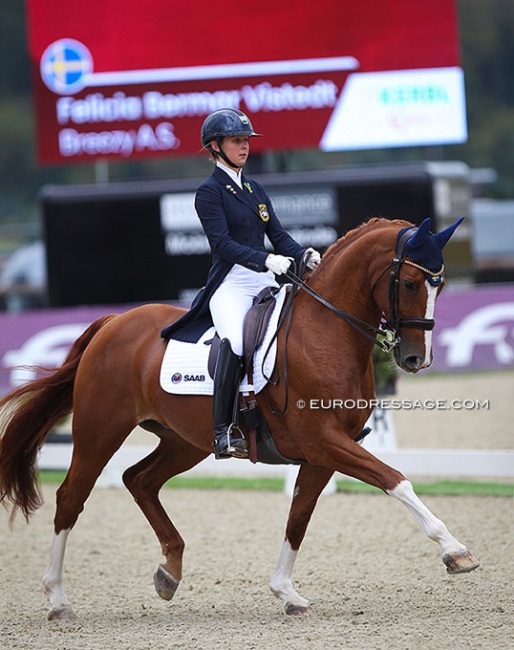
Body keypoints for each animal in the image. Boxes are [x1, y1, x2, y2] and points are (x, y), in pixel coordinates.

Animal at [2, 216, 478, 616]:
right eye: (412, 282)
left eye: (440, 285)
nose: (416, 358)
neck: (324, 332)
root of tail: (114, 321)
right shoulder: (325, 441)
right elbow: (396, 480)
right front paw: (455, 551)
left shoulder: (322, 453)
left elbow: (299, 517)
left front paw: (287, 593)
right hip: (99, 432)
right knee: (71, 497)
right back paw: (57, 599)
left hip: (184, 441)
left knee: (140, 480)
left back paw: (169, 571)